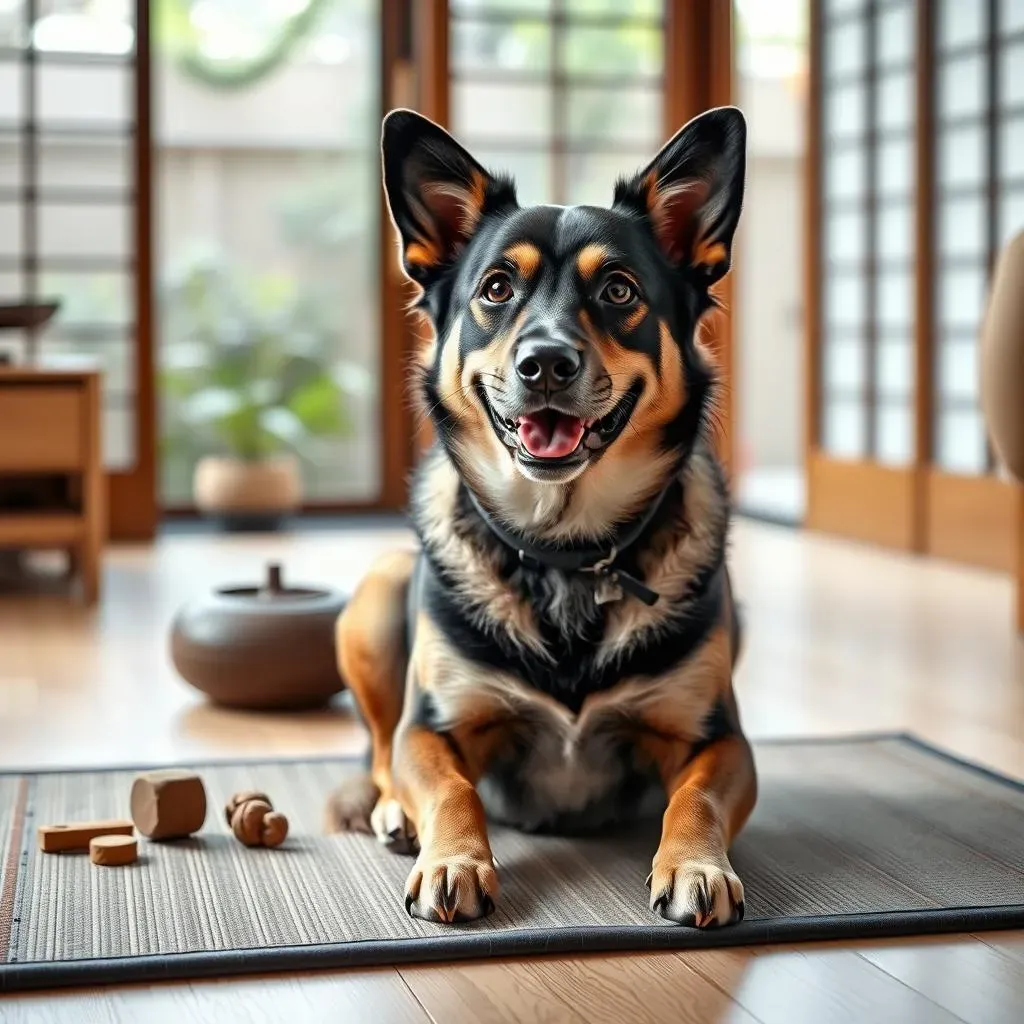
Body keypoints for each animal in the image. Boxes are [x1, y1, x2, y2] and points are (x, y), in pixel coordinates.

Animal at [323, 103, 757, 929]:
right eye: (496, 288)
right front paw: (455, 858)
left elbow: (696, 800)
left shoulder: (718, 738)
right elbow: (448, 784)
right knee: (378, 746)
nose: (546, 364)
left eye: (618, 290)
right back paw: (393, 813)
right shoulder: (434, 725)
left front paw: (696, 864)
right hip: (376, 595)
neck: (565, 551)